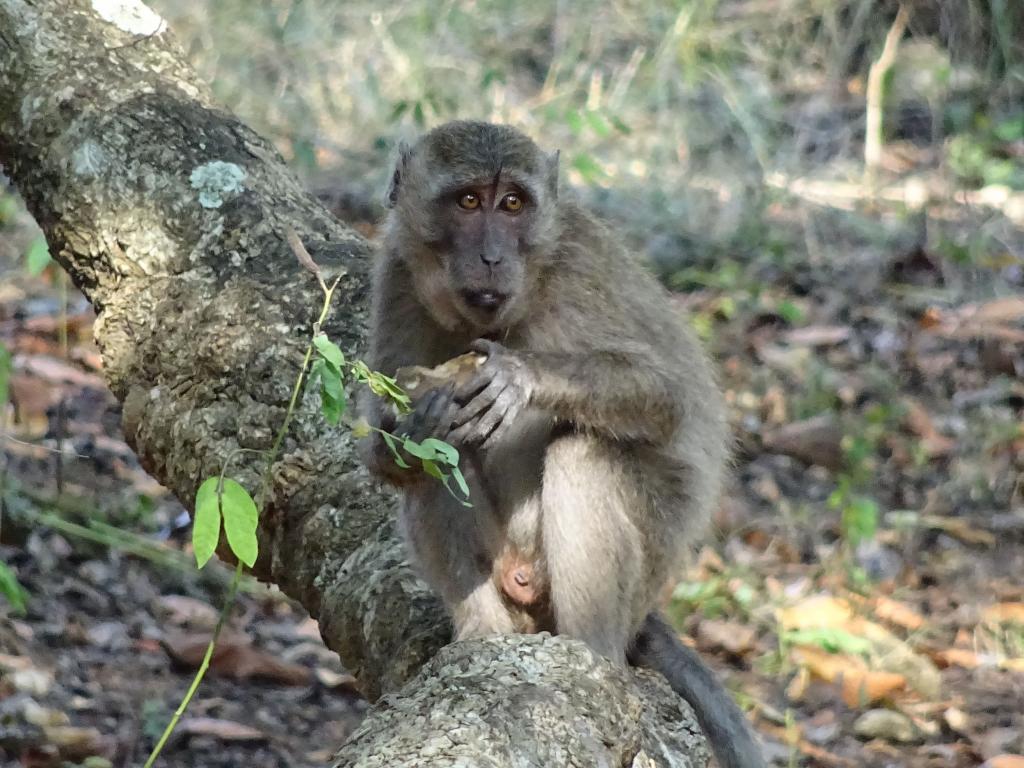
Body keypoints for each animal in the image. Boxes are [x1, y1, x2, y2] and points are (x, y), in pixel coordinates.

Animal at [356, 121, 765, 768]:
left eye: (512, 204)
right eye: (468, 201)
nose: (493, 257)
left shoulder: (579, 269)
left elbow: (666, 395)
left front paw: (516, 375)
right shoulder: (397, 272)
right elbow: (393, 447)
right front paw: (418, 426)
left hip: (642, 571)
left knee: (584, 452)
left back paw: (590, 655)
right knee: (440, 462)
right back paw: (483, 636)